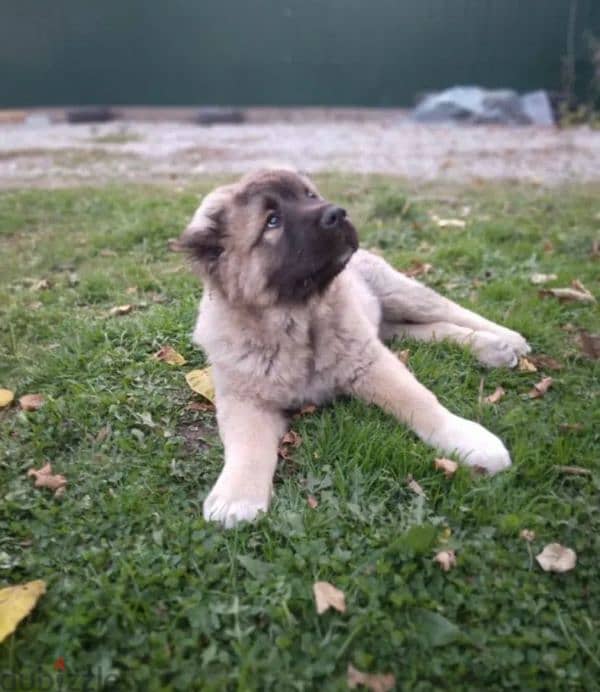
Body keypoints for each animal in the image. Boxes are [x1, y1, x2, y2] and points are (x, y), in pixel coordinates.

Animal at [177, 170, 528, 528]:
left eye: (309, 194)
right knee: (426, 329)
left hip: (397, 292)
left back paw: (506, 339)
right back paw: (491, 347)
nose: (337, 213)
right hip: (385, 322)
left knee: (449, 310)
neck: (298, 322)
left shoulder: (369, 362)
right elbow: (247, 443)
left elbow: (419, 400)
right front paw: (237, 496)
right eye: (272, 221)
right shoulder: (244, 397)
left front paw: (470, 440)